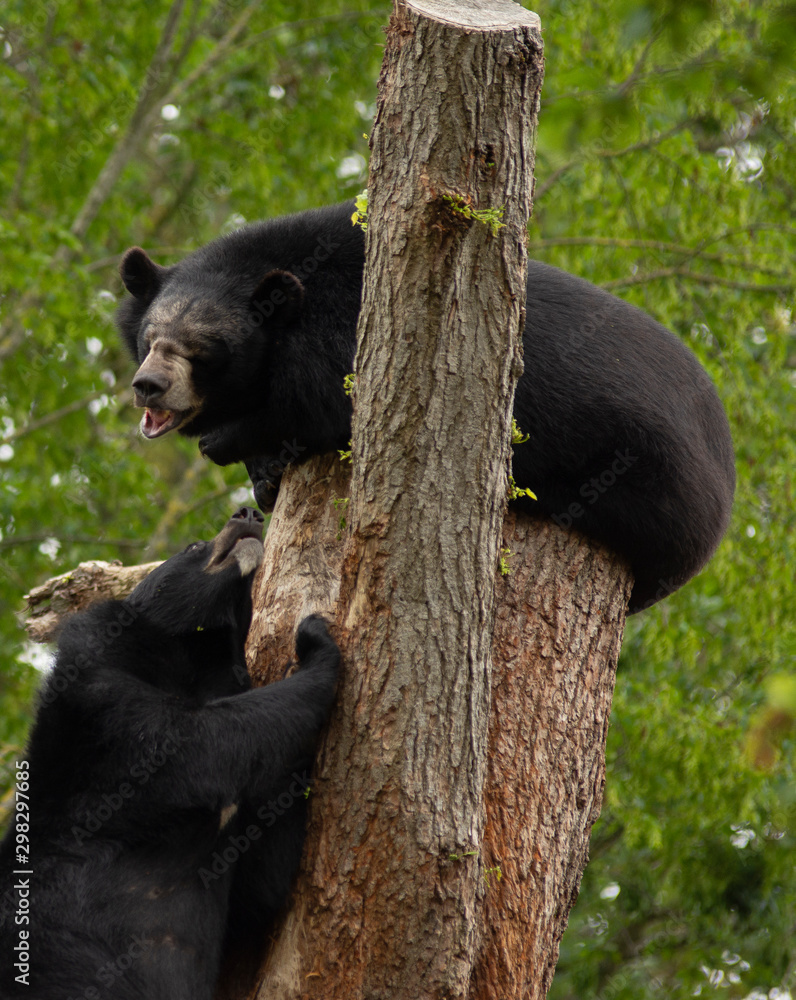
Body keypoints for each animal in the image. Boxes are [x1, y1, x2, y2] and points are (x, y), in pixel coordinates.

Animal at [0, 507, 339, 1000]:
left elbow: (256, 890)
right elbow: (197, 744)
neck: (193, 663)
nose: (248, 513)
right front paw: (318, 644)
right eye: (193, 547)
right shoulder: (104, 717)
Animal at [116, 201, 735, 612]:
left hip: (649, 477)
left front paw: (228, 442)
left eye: (202, 353)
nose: (149, 386)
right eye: (150, 338)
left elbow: (325, 404)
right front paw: (262, 474)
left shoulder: (349, 328)